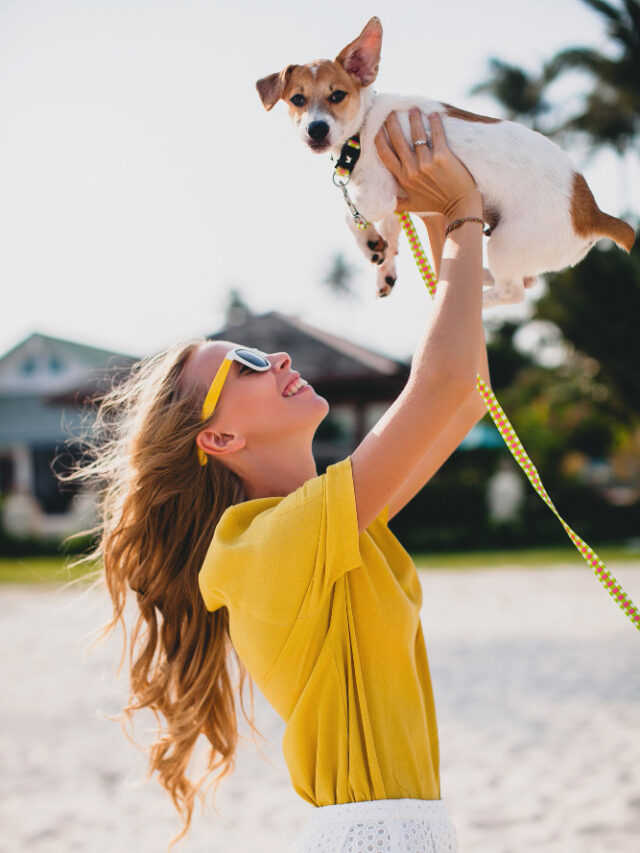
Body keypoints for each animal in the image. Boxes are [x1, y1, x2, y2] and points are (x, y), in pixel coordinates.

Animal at [256, 16, 636, 306]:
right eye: (298, 100)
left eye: (337, 95)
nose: (316, 129)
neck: (361, 130)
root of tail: (591, 213)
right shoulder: (393, 201)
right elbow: (391, 232)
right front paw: (384, 267)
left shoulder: (377, 195)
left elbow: (351, 217)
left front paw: (369, 245)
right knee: (526, 281)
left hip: (508, 242)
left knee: (513, 292)